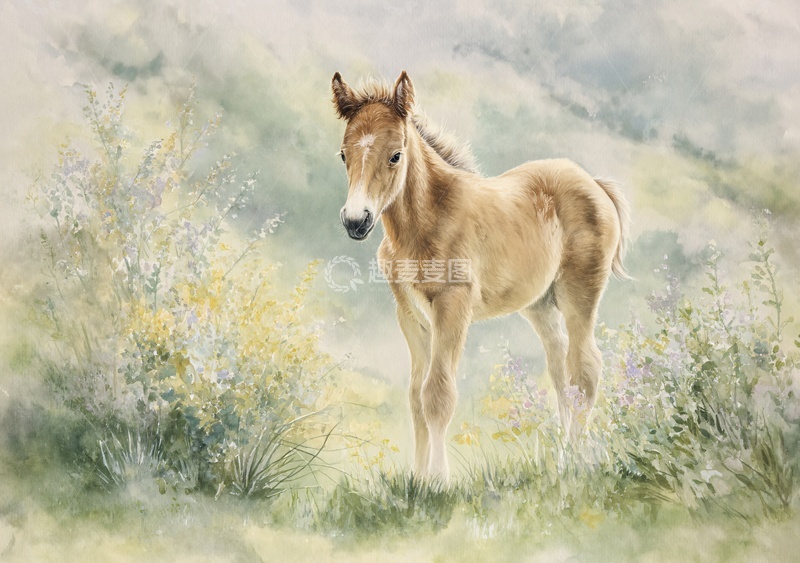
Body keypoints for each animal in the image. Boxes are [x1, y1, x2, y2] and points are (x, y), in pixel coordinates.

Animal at [331, 70, 630, 482]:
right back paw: (561, 462)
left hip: (579, 293)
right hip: (540, 304)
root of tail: (595, 184)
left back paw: (575, 463)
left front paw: (438, 482)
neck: (427, 221)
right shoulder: (409, 315)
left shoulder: (452, 308)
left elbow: (438, 395)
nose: (355, 221)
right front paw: (417, 479)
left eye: (395, 155)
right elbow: (416, 397)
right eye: (344, 155)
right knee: (561, 374)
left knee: (585, 371)